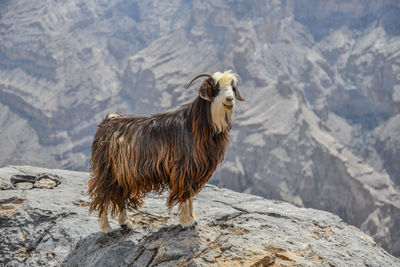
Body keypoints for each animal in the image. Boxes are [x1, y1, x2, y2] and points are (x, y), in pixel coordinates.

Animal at [88, 70, 244, 232]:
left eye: (232, 87)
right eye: (216, 87)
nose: (229, 99)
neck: (195, 125)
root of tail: (106, 123)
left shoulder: (194, 170)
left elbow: (190, 195)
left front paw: (193, 218)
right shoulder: (183, 168)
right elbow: (185, 194)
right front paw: (187, 222)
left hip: (123, 174)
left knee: (119, 195)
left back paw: (125, 222)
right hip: (107, 171)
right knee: (102, 195)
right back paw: (106, 227)